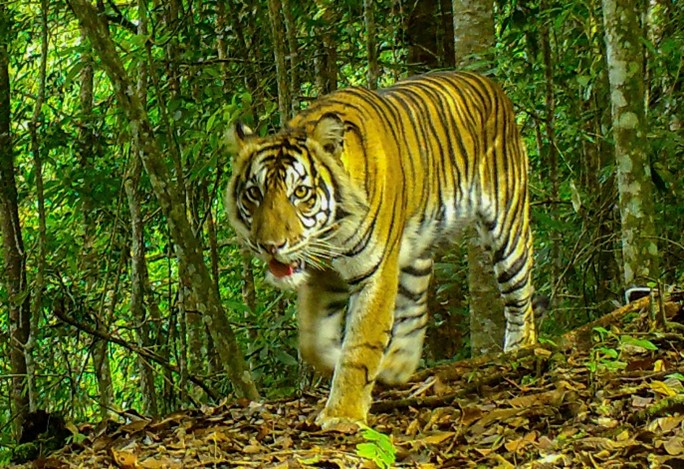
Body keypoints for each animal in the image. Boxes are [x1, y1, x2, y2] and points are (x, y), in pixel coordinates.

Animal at [225, 71, 536, 429]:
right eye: (254, 193)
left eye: (300, 192)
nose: (270, 246)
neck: (330, 233)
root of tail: (492, 84)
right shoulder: (324, 273)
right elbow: (313, 341)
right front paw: (338, 363)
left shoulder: (374, 272)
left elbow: (360, 344)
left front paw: (343, 413)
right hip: (416, 253)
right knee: (416, 308)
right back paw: (397, 366)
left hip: (507, 227)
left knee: (520, 296)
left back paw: (521, 350)